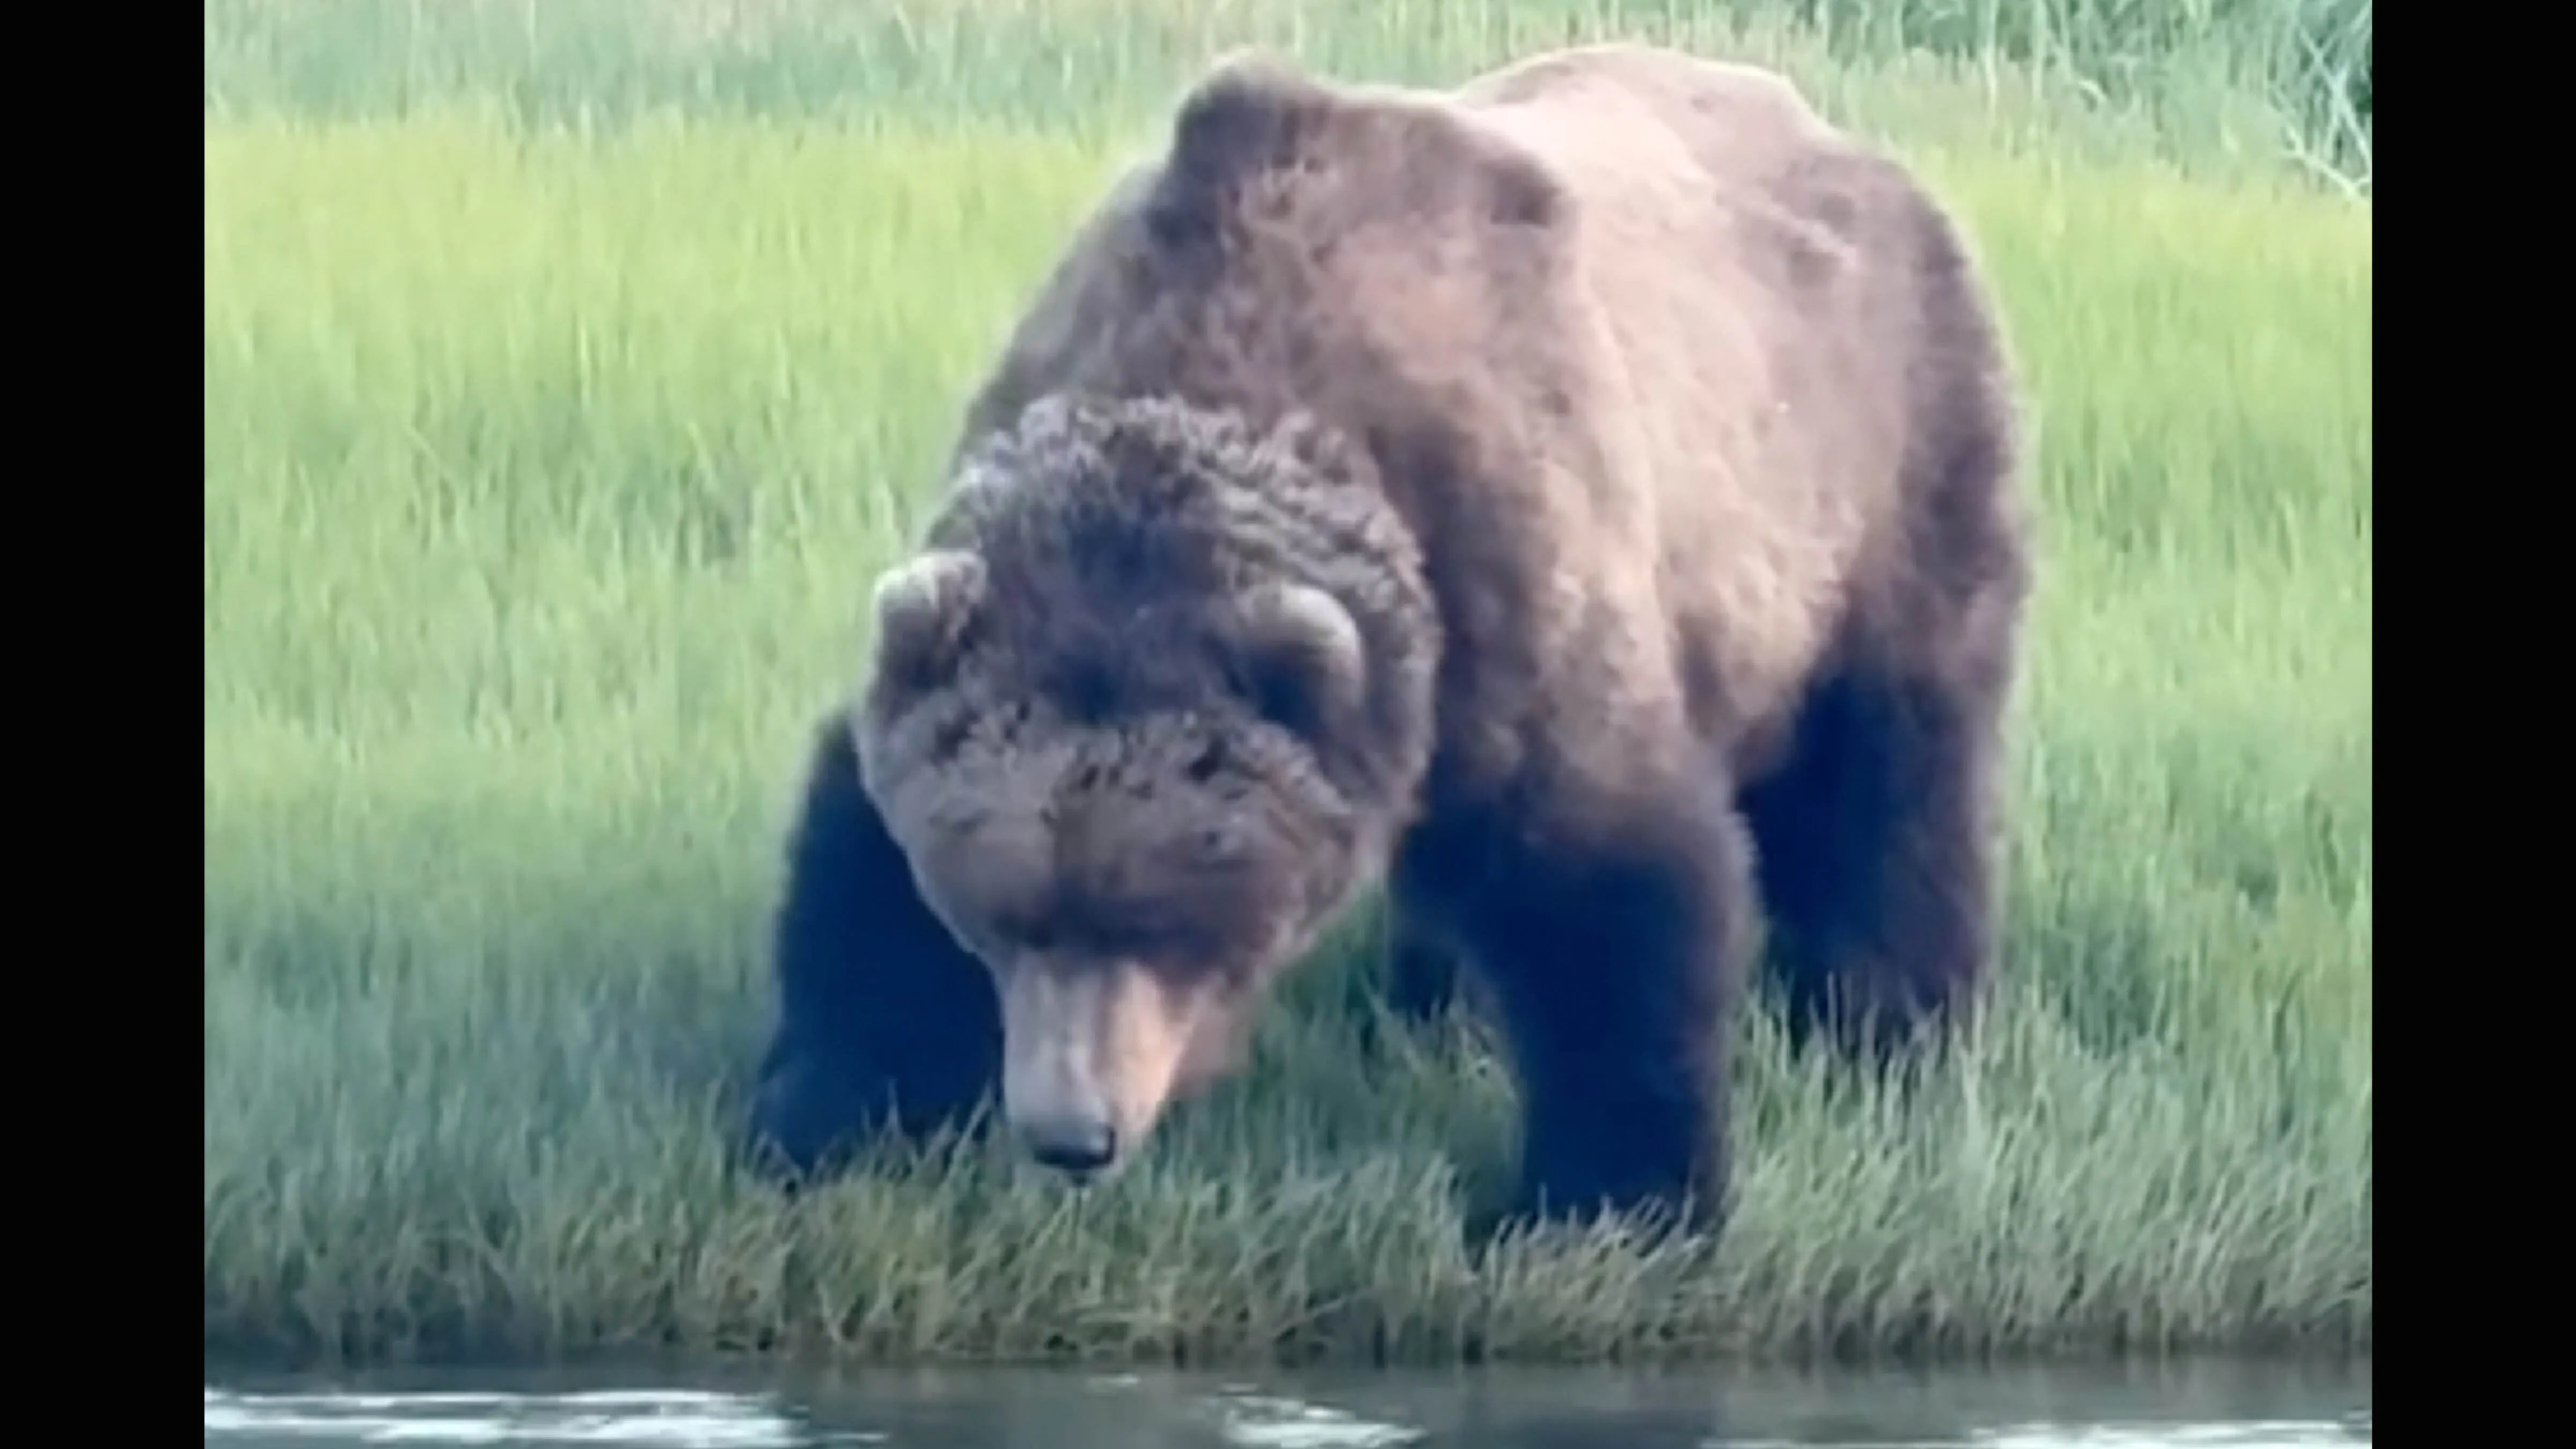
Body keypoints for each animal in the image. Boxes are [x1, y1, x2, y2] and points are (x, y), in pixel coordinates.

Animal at [745, 40, 2032, 1240]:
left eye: (1165, 921)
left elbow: (1607, 887)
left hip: (1872, 475)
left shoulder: (1511, 561)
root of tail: (1846, 139)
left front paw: (1610, 1203)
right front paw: (826, 1120)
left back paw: (1893, 1031)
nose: (1073, 1134)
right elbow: (860, 877)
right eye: (1002, 913)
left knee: (1891, 778)